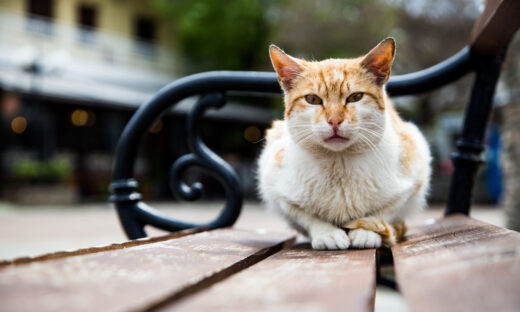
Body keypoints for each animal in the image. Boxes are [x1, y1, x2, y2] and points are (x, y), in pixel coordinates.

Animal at [256, 37, 430, 250]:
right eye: (312, 99)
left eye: (355, 97)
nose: (334, 121)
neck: (339, 163)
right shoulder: (274, 186)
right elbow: (306, 215)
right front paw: (327, 233)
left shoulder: (414, 173)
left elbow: (384, 211)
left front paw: (366, 232)